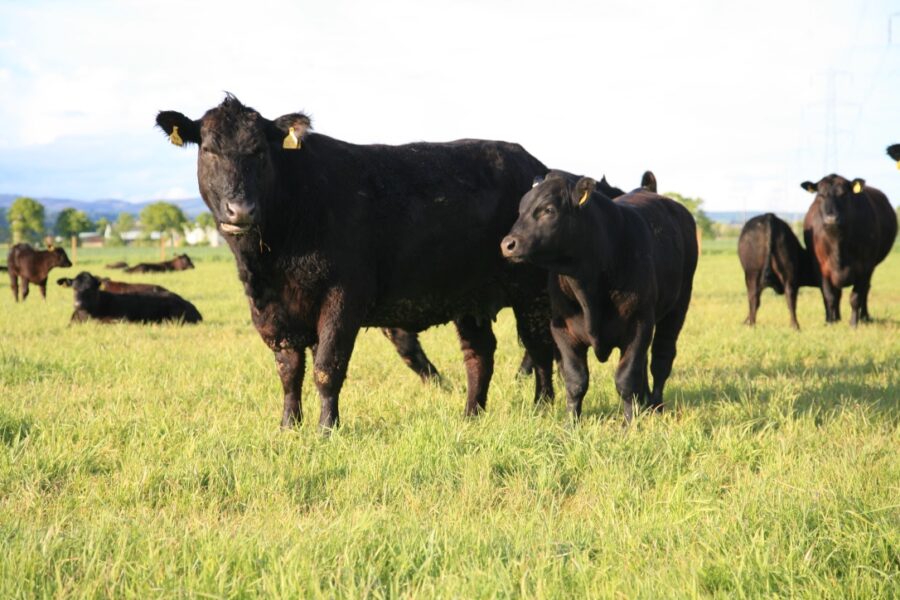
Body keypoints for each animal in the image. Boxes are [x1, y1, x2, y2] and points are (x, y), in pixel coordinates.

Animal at [155, 95, 556, 430]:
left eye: (259, 151)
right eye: (209, 150)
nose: (241, 209)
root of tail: (533, 165)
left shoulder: (344, 295)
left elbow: (326, 367)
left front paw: (326, 429)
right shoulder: (272, 309)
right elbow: (289, 370)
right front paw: (289, 426)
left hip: (531, 291)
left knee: (538, 347)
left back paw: (543, 408)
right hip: (469, 296)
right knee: (480, 353)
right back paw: (472, 415)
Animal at [501, 171, 697, 422]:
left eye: (548, 209)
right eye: (520, 209)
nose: (508, 244)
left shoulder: (639, 324)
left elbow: (626, 379)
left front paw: (628, 424)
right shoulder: (563, 330)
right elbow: (575, 381)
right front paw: (571, 424)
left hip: (677, 308)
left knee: (661, 360)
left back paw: (655, 406)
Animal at [801, 175, 897, 326]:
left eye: (844, 194)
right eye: (820, 195)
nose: (831, 218)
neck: (838, 244)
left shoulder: (865, 267)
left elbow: (856, 297)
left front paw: (853, 323)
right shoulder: (821, 267)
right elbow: (829, 296)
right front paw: (830, 322)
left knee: (866, 290)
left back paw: (864, 316)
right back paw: (836, 317)